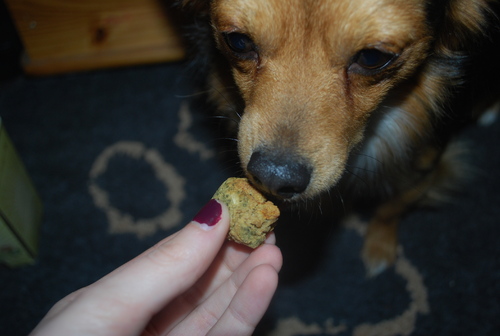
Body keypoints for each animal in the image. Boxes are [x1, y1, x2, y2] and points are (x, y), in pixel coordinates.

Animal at [178, 0, 498, 276]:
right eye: (238, 42)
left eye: (373, 58)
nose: (272, 177)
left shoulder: (426, 164)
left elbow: (391, 208)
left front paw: (380, 245)